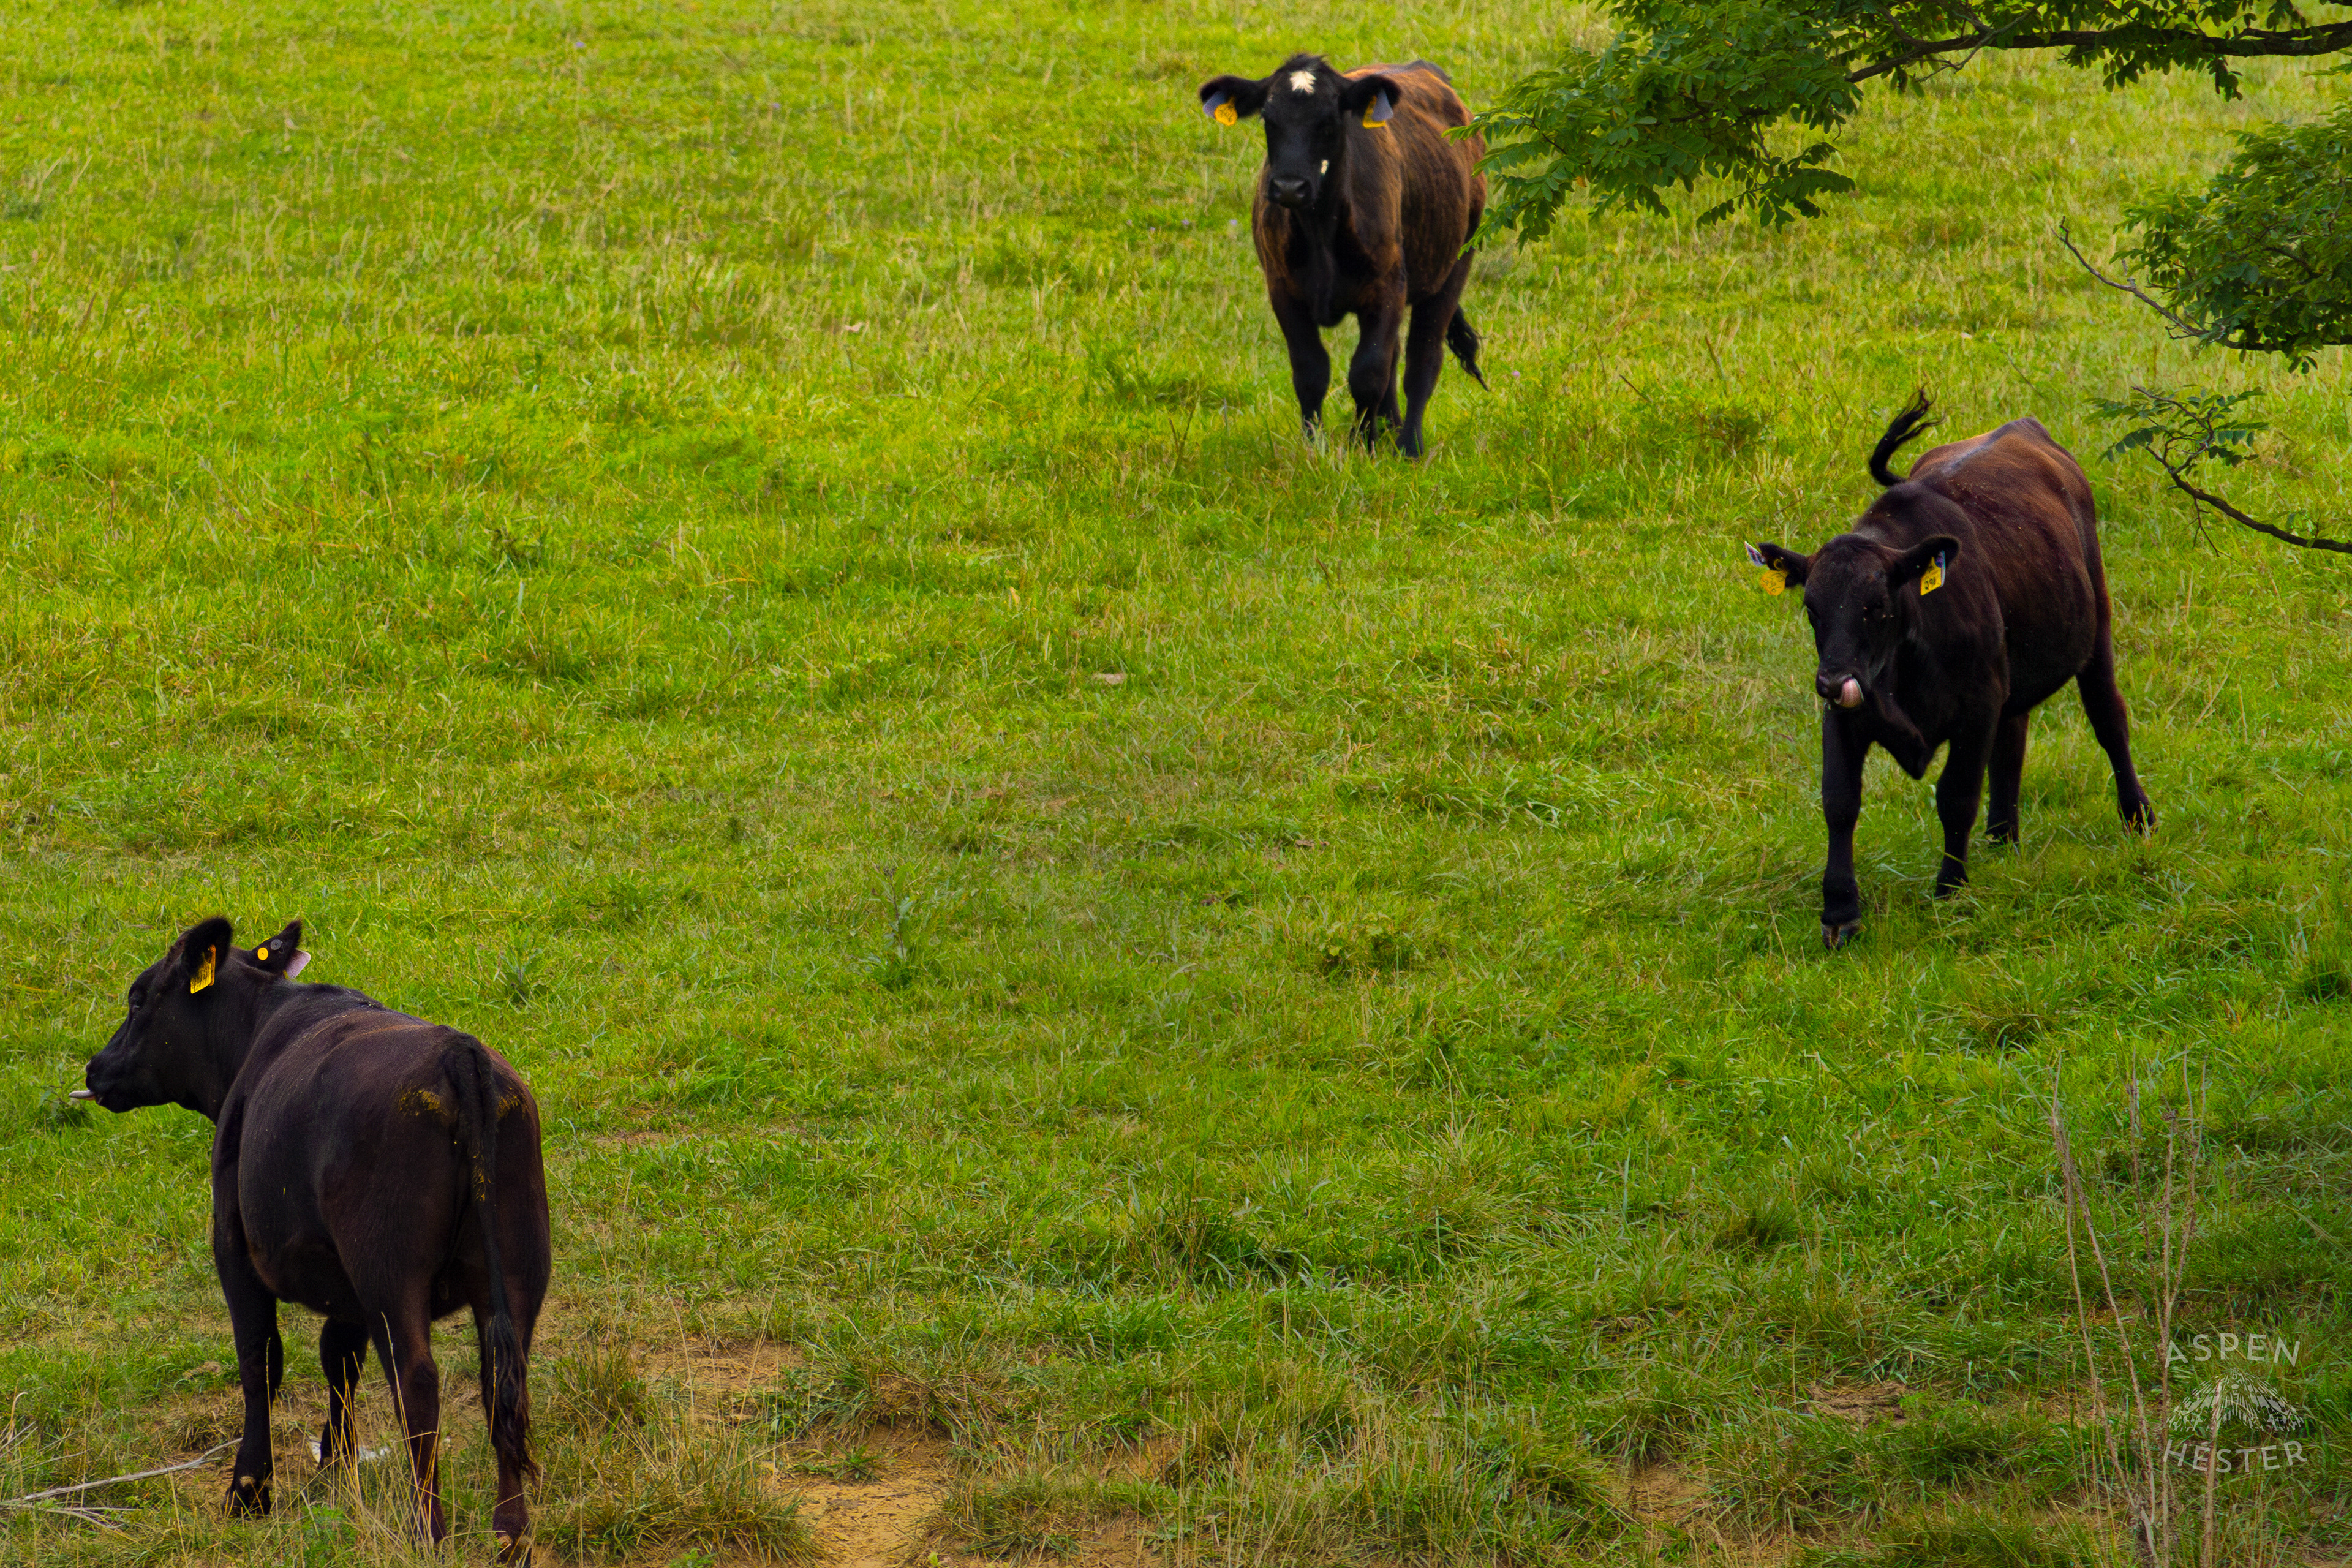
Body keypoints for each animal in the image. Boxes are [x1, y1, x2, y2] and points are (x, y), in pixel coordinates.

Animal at [76, 918, 550, 1564]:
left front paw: (249, 1491)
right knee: (504, 1379)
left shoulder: (234, 1246)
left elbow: (260, 1359)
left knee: (417, 1382)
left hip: (389, 1270)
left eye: (138, 997)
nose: (96, 1068)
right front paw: (335, 1471)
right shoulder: (342, 1283)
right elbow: (339, 1359)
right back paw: (510, 1533)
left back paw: (425, 1528)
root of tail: (461, 1053)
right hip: (519, 1262)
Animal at [1197, 53, 1487, 457]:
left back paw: (1409, 445)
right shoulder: (1283, 290)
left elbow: (1368, 371)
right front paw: (1314, 447)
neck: (1320, 232)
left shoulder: (1387, 286)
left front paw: (1363, 445)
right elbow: (1311, 371)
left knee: (1422, 358)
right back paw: (1390, 426)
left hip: (1455, 264)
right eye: (1268, 119)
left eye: (1330, 120)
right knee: (1396, 354)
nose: (1290, 186)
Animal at [1749, 397, 2155, 948]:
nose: (1831, 681)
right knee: (2013, 742)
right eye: (1812, 609)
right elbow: (1839, 801)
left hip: (2096, 631)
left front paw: (1950, 888)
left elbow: (1956, 795)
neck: (1900, 672)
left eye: (1877, 607)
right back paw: (2003, 837)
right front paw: (1839, 910)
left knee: (2109, 720)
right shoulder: (1845, 716)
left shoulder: (1976, 709)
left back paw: (2137, 816)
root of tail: (2025, 429)